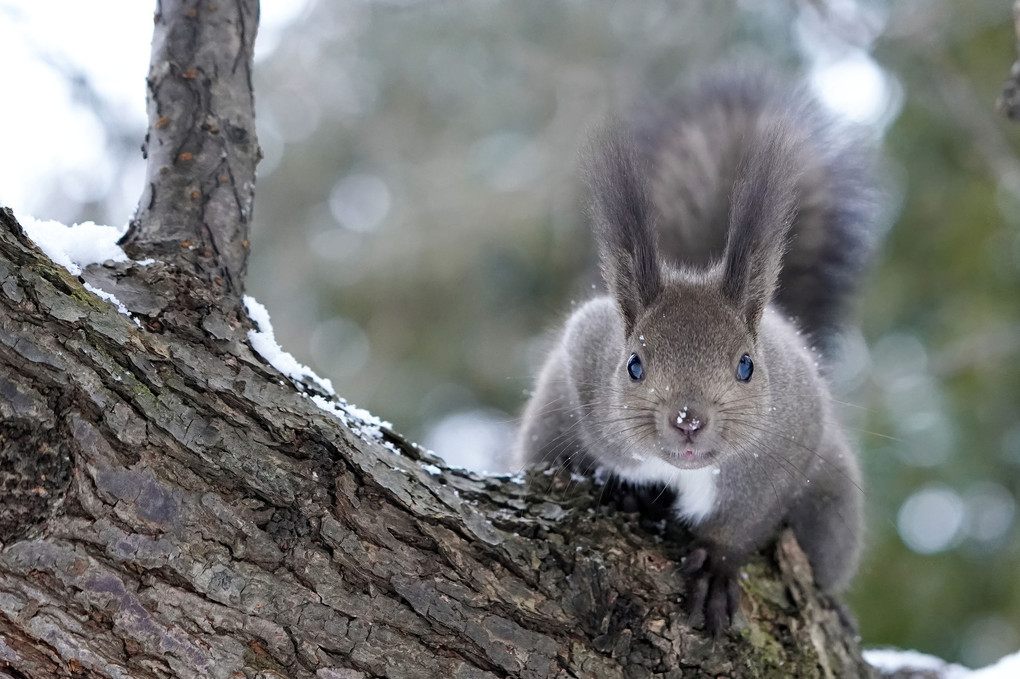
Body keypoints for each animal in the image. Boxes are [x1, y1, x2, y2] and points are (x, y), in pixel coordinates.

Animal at [514, 68, 881, 628]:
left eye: (747, 365)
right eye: (634, 364)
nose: (688, 420)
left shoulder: (790, 435)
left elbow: (747, 518)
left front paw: (716, 564)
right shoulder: (585, 351)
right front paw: (616, 483)